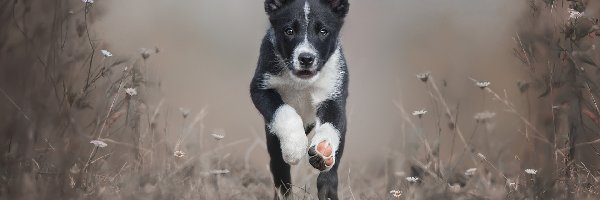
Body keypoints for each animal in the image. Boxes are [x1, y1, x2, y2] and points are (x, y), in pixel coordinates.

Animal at [250, 0, 352, 199]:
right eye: (289, 31)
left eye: (323, 31)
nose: (306, 58)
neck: (302, 85)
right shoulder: (260, 88)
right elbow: (284, 111)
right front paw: (294, 145)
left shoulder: (334, 96)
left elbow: (332, 125)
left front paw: (324, 149)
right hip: (273, 141)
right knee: (280, 173)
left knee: (330, 175)